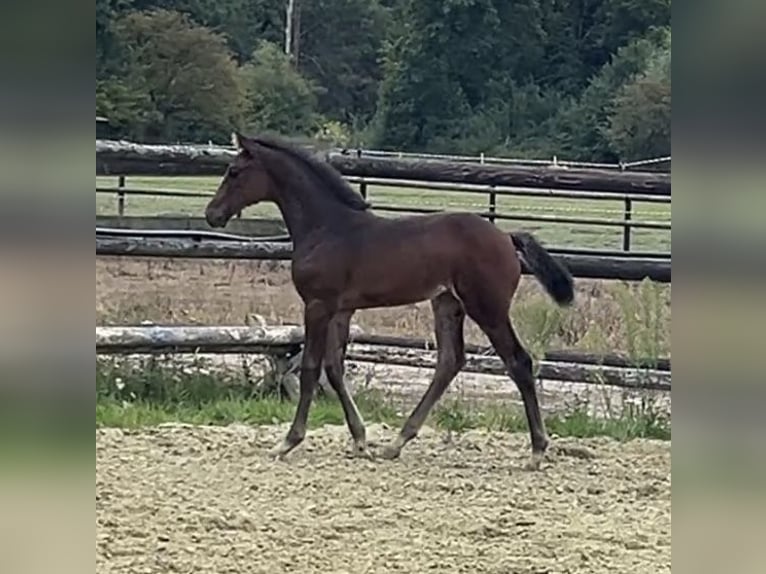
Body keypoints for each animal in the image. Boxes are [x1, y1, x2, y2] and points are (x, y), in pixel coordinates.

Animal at [205, 132, 575, 469]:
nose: (212, 214)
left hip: (488, 308)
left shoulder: (318, 305)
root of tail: (506, 237)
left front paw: (288, 442)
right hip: (447, 304)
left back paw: (537, 450)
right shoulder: (341, 310)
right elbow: (334, 369)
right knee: (450, 361)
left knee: (518, 361)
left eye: (234, 171)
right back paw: (396, 443)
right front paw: (360, 440)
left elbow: (311, 368)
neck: (327, 228)